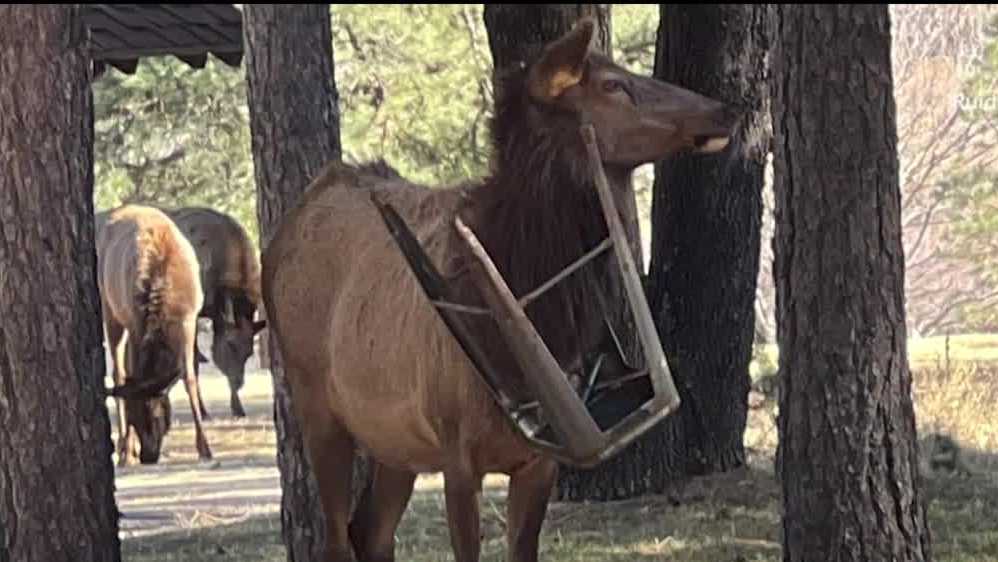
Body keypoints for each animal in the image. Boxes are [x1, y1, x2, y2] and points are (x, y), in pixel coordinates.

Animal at [96, 203, 214, 462]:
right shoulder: (134, 321)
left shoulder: (189, 319)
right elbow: (130, 376)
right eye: (133, 416)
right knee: (118, 371)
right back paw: (124, 450)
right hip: (110, 308)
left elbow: (189, 377)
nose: (147, 455)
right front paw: (127, 448)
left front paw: (205, 448)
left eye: (158, 416)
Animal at [168, 206, 270, 416]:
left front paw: (238, 407)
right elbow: (193, 364)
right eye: (230, 345)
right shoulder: (192, 314)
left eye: (249, 352)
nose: (239, 382)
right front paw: (202, 410)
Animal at [260, 17, 744, 560]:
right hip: (318, 407)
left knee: (371, 532)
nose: (725, 108)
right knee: (337, 537)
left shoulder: (538, 461)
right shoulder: (457, 456)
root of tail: (281, 237)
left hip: (395, 442)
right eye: (612, 85)